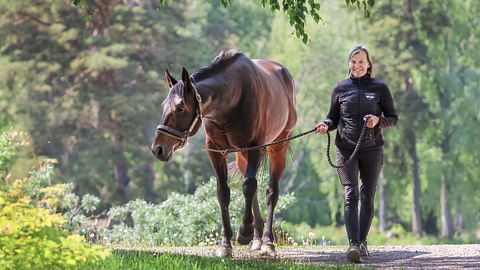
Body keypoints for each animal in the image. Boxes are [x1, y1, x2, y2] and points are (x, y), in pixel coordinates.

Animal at [152, 50, 298, 258]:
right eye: (164, 105)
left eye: (180, 107)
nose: (158, 149)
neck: (232, 98)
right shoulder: (216, 151)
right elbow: (223, 193)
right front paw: (225, 243)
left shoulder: (255, 147)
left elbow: (248, 186)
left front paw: (244, 231)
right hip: (242, 156)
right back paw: (257, 238)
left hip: (278, 147)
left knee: (271, 191)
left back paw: (267, 241)